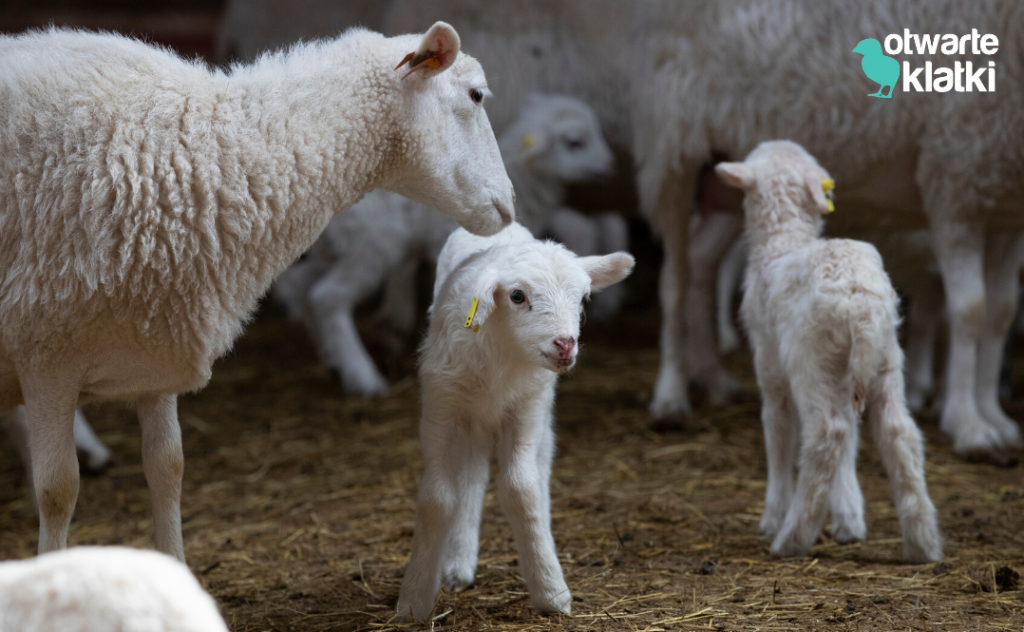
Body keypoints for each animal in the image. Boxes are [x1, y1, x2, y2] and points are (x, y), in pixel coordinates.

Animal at [0, 22, 512, 561]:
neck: (209, 152)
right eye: (476, 95)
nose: (509, 204)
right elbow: (58, 489)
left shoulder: (156, 348)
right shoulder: (47, 354)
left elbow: (167, 470)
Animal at [274, 92, 622, 393]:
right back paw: (362, 376)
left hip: (336, 248)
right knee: (327, 296)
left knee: (300, 285)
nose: (610, 166)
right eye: (575, 141)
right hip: (375, 244)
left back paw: (331, 356)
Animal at [397, 223, 630, 622]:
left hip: (540, 415)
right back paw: (458, 564)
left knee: (537, 473)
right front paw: (414, 598)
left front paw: (550, 590)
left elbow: (522, 490)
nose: (565, 344)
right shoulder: (441, 408)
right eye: (518, 296)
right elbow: (437, 498)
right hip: (470, 417)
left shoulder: (527, 408)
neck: (502, 353)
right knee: (472, 476)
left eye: (584, 298)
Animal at [712, 141, 942, 561]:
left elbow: (778, 433)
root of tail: (859, 299)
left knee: (826, 434)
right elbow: (852, 443)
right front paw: (850, 519)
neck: (782, 238)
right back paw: (923, 542)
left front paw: (772, 516)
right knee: (898, 432)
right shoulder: (848, 376)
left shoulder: (769, 366)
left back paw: (790, 537)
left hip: (811, 358)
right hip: (884, 356)